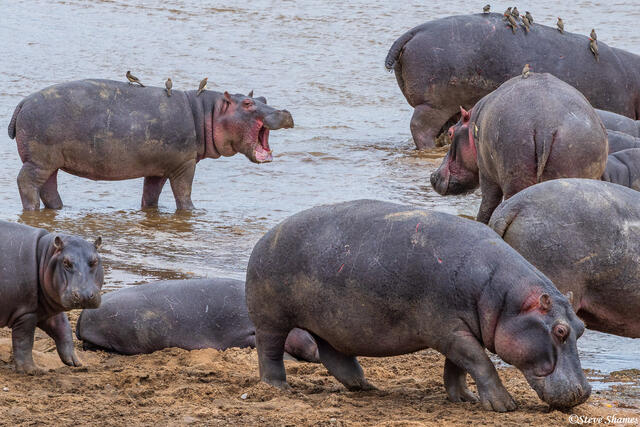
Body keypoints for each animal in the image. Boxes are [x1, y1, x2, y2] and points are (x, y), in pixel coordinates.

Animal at [0, 221, 103, 374]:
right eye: (66, 262)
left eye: (95, 261)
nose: (84, 295)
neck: (45, 255)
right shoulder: (26, 312)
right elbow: (24, 341)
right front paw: (32, 370)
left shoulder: (46, 306)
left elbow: (63, 328)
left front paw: (76, 362)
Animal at [7, 79, 294, 210]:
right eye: (247, 104)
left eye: (263, 98)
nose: (285, 111)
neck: (208, 112)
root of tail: (22, 102)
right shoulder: (184, 164)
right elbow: (183, 192)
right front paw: (192, 211)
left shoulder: (158, 168)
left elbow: (151, 195)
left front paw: (150, 210)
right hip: (39, 160)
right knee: (26, 181)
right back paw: (31, 209)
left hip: (49, 162)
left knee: (49, 188)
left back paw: (57, 209)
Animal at [246, 200, 591, 411]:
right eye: (560, 331)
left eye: (581, 327)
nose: (585, 392)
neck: (507, 299)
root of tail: (265, 237)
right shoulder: (450, 330)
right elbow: (480, 363)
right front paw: (504, 406)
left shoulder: (461, 330)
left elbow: (459, 367)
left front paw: (464, 398)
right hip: (271, 318)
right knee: (270, 351)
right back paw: (279, 388)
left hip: (331, 324)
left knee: (334, 355)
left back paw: (366, 386)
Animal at [430, 73, 607, 224]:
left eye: (451, 132)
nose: (433, 176)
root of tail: (546, 125)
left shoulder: (486, 173)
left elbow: (488, 204)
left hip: (514, 167)